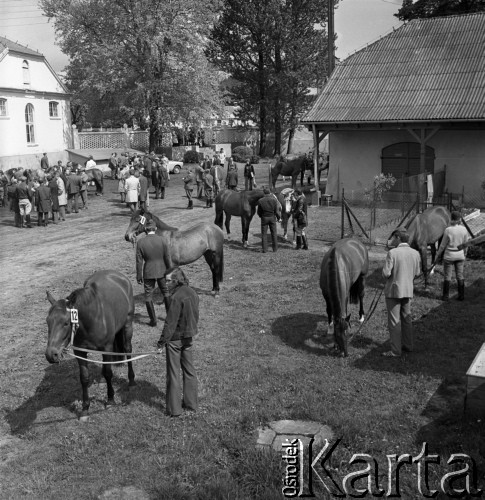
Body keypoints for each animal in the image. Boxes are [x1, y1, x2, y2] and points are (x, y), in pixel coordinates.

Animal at [44, 272, 135, 420]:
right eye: (48, 321)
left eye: (66, 323)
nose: (51, 354)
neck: (93, 317)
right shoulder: (80, 352)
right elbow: (84, 378)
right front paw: (85, 408)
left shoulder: (107, 349)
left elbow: (108, 373)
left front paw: (110, 399)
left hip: (127, 325)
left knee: (128, 350)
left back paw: (131, 380)